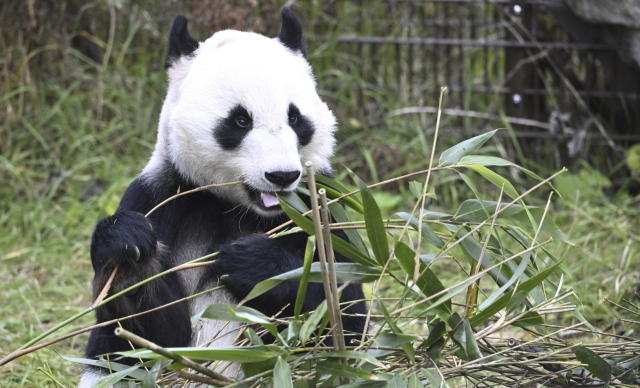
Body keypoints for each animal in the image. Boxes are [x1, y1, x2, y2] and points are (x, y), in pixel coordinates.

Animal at [80, 7, 368, 386]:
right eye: (240, 120)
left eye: (295, 118)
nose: (281, 176)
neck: (239, 208)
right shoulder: (163, 197)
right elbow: (147, 337)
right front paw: (129, 253)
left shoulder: (319, 205)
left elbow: (343, 312)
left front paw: (251, 261)